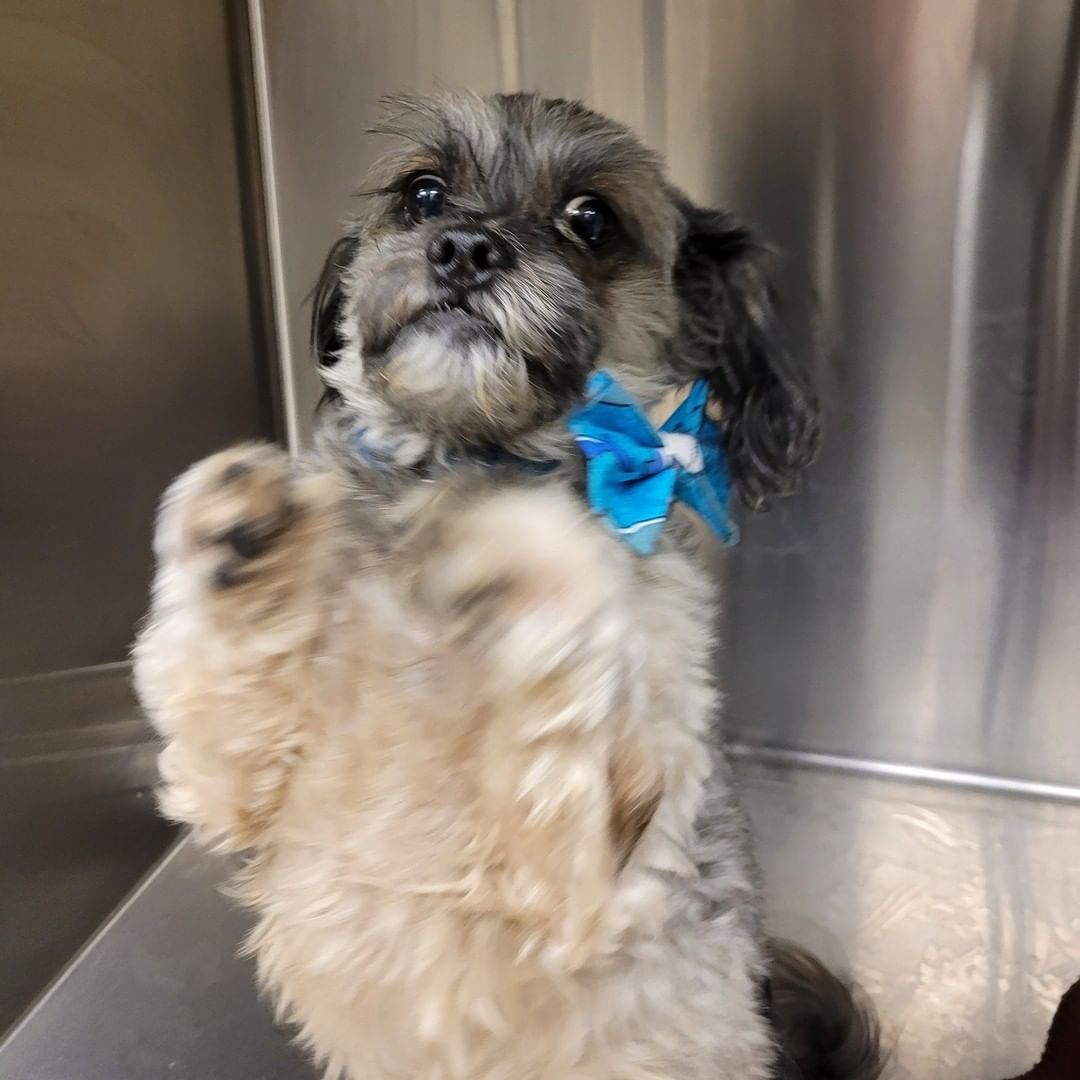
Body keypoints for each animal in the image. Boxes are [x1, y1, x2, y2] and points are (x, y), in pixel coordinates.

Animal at [130, 95, 881, 1080]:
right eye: (423, 192)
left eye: (592, 219)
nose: (463, 248)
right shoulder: (235, 796)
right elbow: (210, 702)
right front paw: (237, 521)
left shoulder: (597, 883)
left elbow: (566, 638)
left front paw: (518, 538)